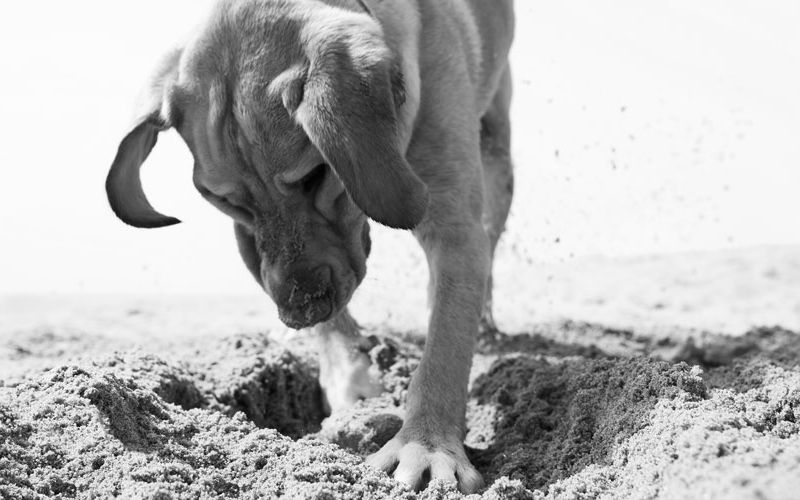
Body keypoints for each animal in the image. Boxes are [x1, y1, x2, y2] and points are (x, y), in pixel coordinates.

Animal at [106, 0, 516, 492]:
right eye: (223, 199)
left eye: (316, 174)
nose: (301, 313)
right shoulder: (261, 252)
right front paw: (347, 375)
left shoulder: (455, 230)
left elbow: (444, 350)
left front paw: (426, 444)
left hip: (497, 149)